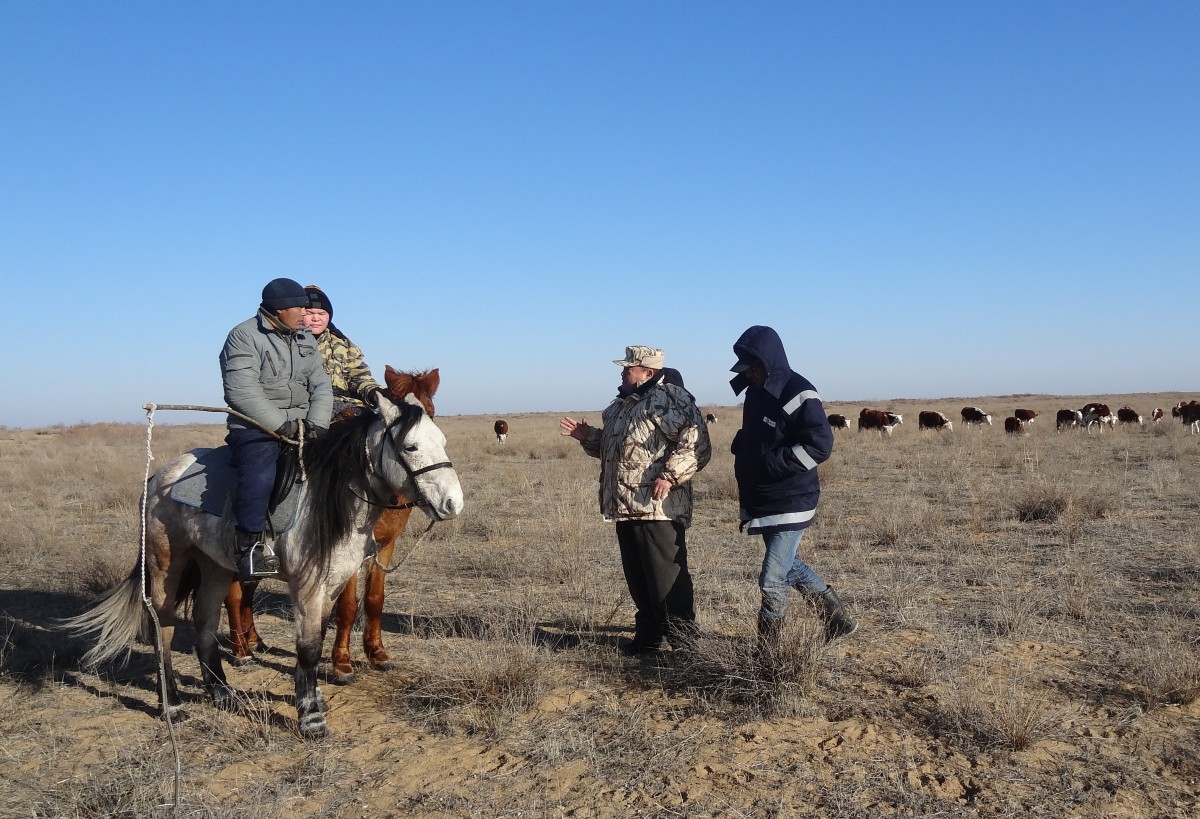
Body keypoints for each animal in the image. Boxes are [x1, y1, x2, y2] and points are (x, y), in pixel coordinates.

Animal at [223, 367, 439, 677]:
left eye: (431, 413)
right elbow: (347, 605)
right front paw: (342, 662)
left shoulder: (386, 545)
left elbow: (375, 600)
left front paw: (377, 653)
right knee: (234, 595)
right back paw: (240, 650)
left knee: (248, 590)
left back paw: (254, 640)